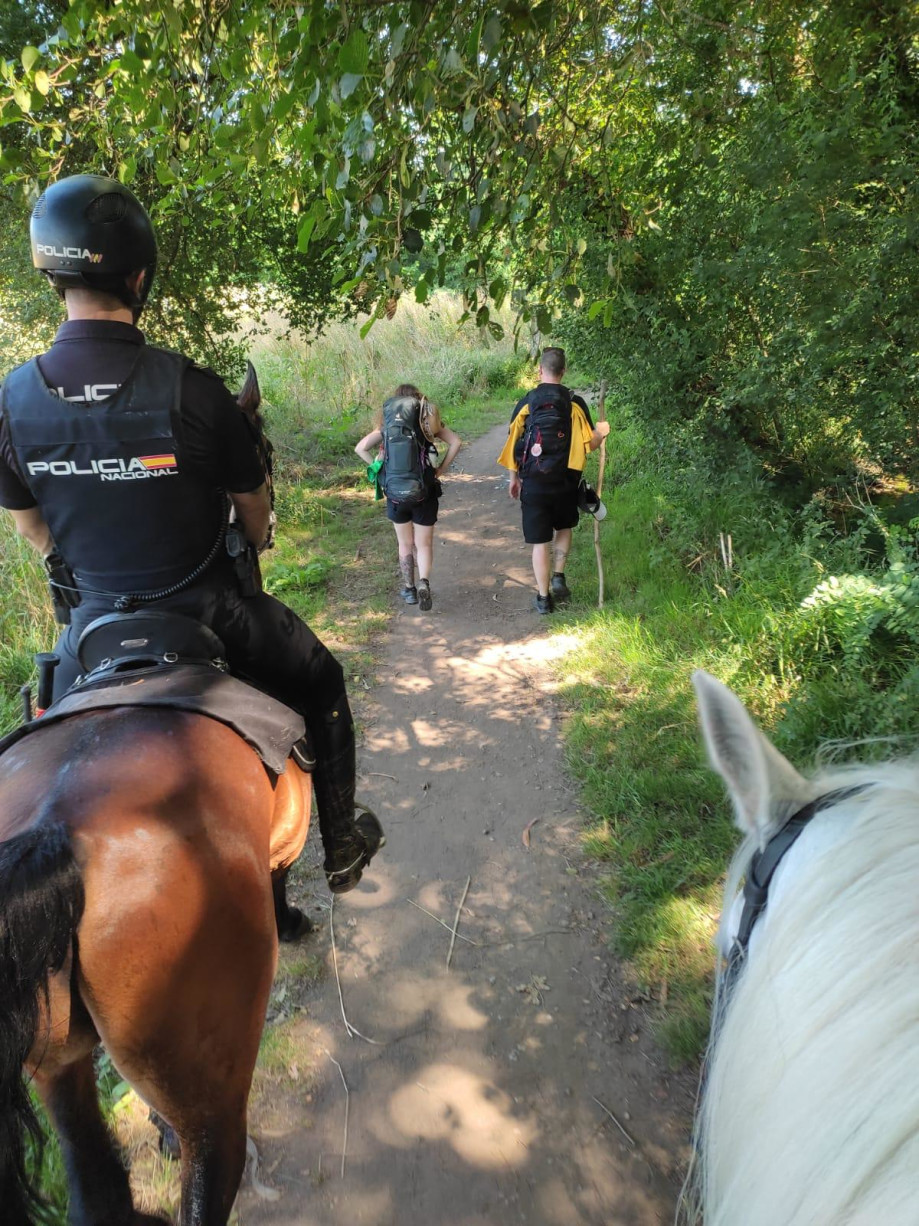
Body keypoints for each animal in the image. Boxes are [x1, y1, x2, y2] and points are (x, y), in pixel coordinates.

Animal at [0, 701, 313, 1226]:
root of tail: (54, 832)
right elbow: (280, 877)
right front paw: (291, 920)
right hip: (212, 1103)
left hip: (55, 1064)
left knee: (93, 1190)